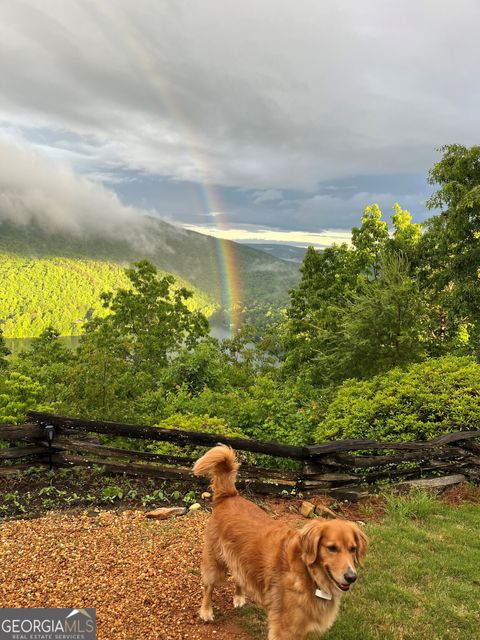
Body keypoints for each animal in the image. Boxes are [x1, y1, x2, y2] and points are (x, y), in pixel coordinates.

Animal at [193, 444, 370, 640]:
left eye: (353, 549)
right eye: (332, 548)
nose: (351, 577)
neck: (309, 574)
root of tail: (229, 495)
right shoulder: (285, 629)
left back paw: (239, 597)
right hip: (214, 560)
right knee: (208, 586)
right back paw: (206, 611)